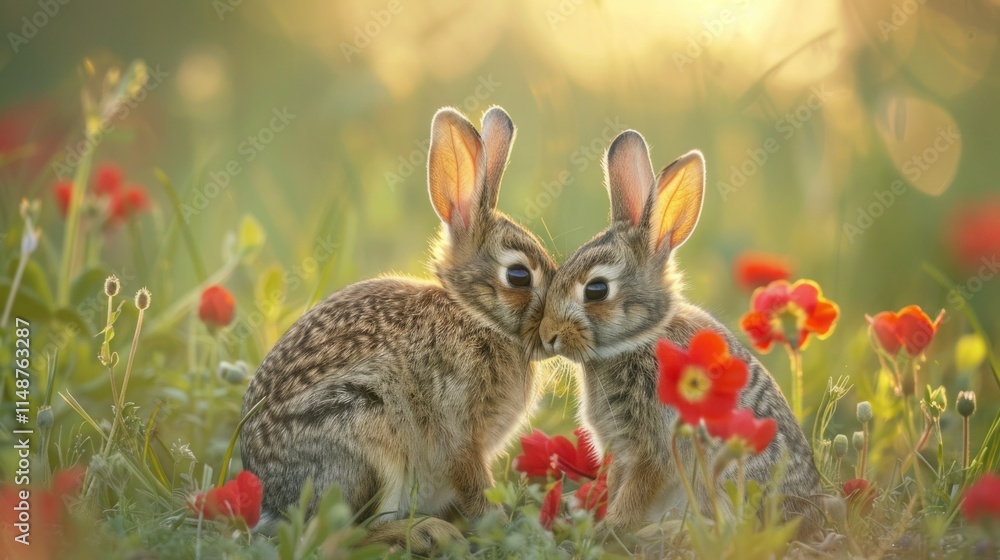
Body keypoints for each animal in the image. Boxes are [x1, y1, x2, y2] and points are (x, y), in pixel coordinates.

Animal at [240, 106, 557, 553]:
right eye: (518, 276)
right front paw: (503, 526)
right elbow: (474, 483)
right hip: (365, 439)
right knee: (338, 534)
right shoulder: (460, 432)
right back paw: (427, 532)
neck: (476, 316)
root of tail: (274, 501)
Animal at [537, 130, 829, 538]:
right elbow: (618, 483)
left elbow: (638, 490)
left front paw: (610, 528)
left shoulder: (654, 446)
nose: (547, 335)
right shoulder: (622, 451)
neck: (641, 337)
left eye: (596, 290)